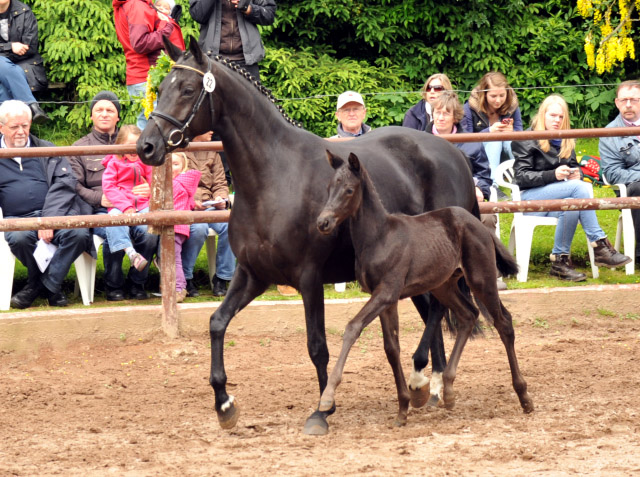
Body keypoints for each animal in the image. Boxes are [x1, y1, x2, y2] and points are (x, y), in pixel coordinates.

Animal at [316, 152, 536, 428]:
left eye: (348, 190)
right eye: (328, 188)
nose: (322, 222)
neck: (379, 237)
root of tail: (477, 223)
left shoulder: (386, 292)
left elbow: (352, 327)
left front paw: (327, 397)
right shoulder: (386, 299)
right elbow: (391, 349)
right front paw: (402, 409)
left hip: (481, 279)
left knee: (503, 323)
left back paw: (524, 396)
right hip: (444, 285)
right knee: (468, 316)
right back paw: (449, 391)